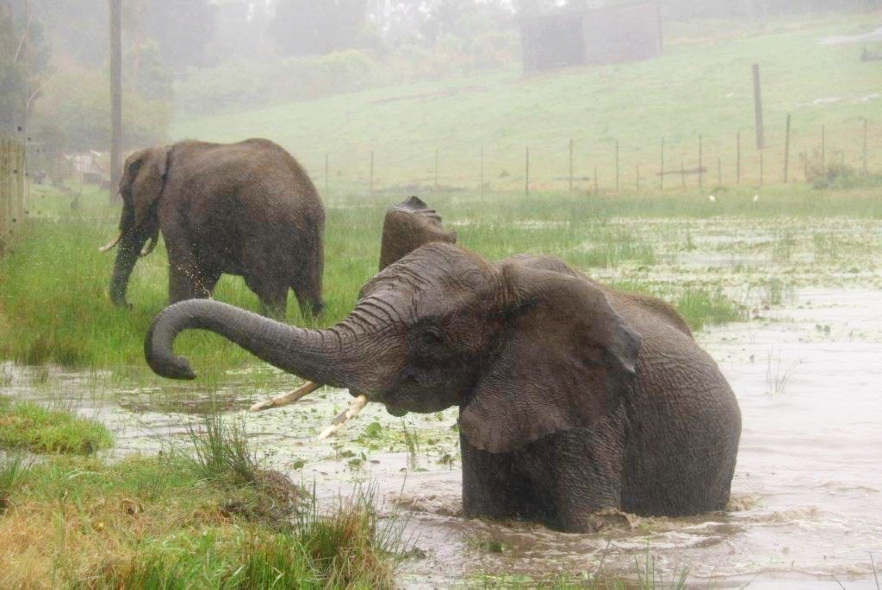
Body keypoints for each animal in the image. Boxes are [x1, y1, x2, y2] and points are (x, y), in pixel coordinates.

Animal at [99, 138, 324, 320]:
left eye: (125, 194)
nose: (130, 306)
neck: (163, 149)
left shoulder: (173, 202)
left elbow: (181, 261)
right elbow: (207, 268)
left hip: (270, 230)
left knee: (269, 290)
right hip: (314, 237)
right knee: (310, 291)